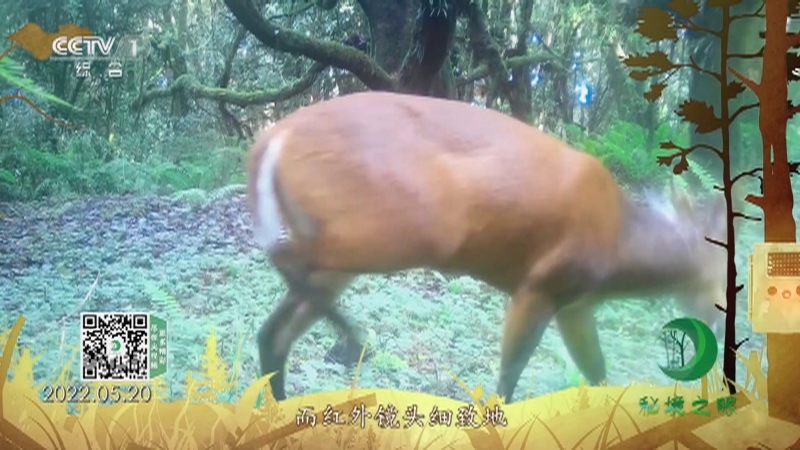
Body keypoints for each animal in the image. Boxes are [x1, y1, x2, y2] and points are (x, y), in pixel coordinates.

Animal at [245, 91, 727, 404]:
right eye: (723, 267)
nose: (719, 324)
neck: (619, 246)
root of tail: (271, 139)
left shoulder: (575, 305)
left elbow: (597, 373)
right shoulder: (539, 285)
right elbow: (508, 380)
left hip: (339, 254)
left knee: (272, 332)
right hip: (410, 228)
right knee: (282, 261)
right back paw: (350, 338)